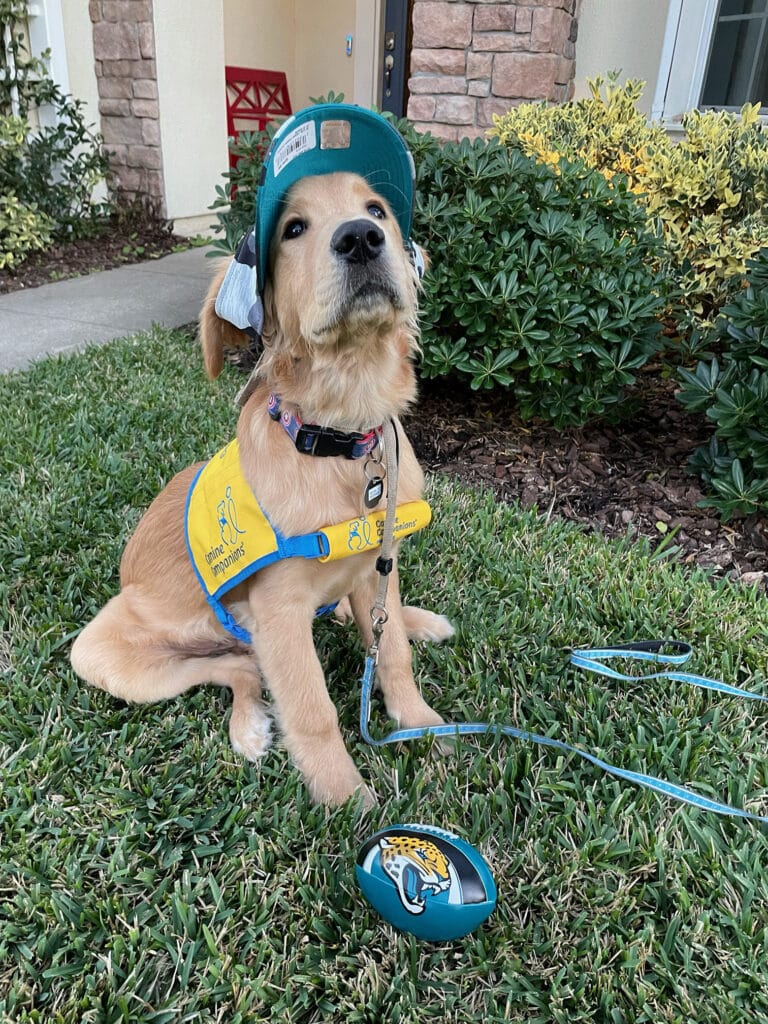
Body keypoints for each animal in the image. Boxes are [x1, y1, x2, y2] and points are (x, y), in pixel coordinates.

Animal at [70, 169, 456, 806]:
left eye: (376, 209)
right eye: (293, 228)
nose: (361, 237)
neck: (340, 440)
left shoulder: (379, 566)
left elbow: (392, 650)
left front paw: (418, 722)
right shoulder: (280, 612)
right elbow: (312, 707)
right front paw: (346, 799)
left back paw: (417, 622)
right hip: (106, 655)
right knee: (241, 669)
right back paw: (249, 728)